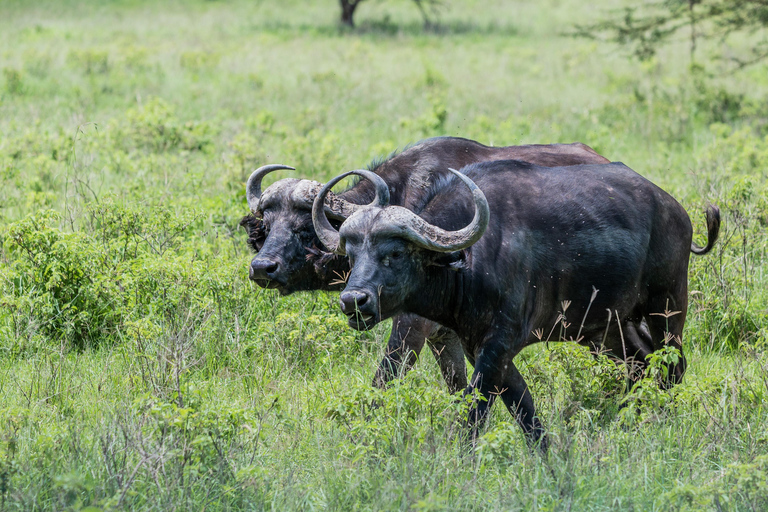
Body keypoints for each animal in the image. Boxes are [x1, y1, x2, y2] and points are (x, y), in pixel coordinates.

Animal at [240, 136, 612, 392]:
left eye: (305, 229)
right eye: (268, 224)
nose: (262, 268)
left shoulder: (411, 328)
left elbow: (382, 380)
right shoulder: (445, 336)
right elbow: (458, 387)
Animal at [312, 160, 720, 448]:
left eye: (395, 253)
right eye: (351, 253)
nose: (354, 301)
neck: (472, 259)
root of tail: (676, 211)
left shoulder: (498, 344)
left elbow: (475, 413)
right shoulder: (484, 348)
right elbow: (524, 410)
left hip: (667, 307)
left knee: (672, 367)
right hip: (608, 327)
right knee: (640, 366)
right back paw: (629, 419)